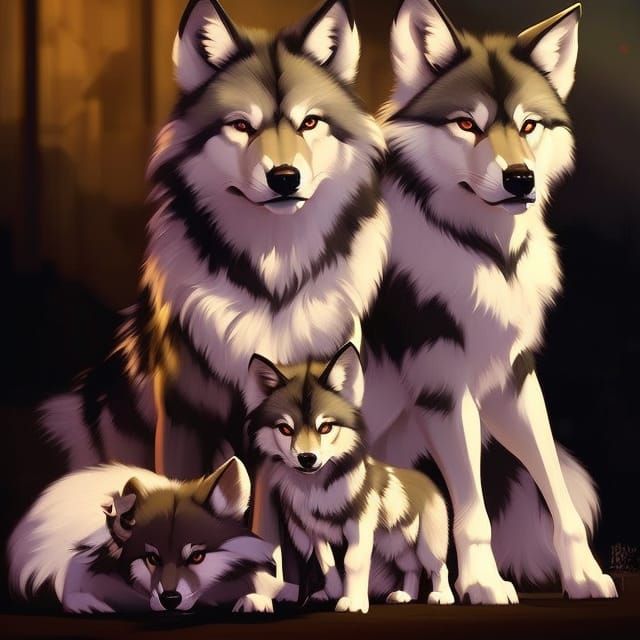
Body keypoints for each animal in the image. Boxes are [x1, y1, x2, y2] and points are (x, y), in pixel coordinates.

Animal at [244, 343, 454, 613]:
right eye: (285, 429)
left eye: (325, 427)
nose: (307, 458)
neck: (317, 491)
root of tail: (427, 480)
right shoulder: (315, 532)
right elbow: (327, 564)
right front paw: (332, 593)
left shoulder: (358, 527)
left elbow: (352, 563)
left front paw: (353, 602)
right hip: (395, 546)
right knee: (413, 568)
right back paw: (405, 595)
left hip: (426, 545)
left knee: (439, 567)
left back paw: (442, 596)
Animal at [361, 0, 617, 603]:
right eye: (467, 123)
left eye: (528, 125)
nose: (520, 178)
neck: (484, 254)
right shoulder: (444, 388)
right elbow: (472, 511)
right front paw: (482, 583)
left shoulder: (512, 380)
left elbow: (560, 496)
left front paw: (583, 576)